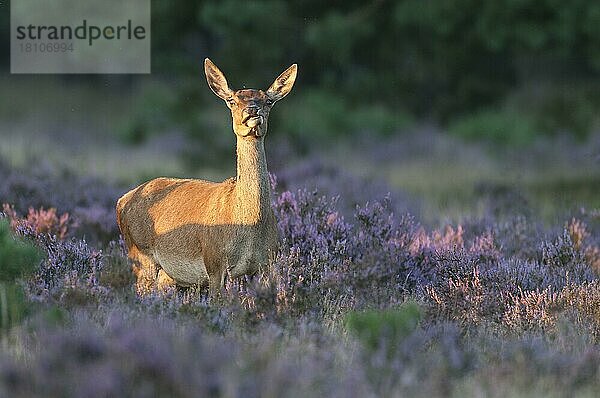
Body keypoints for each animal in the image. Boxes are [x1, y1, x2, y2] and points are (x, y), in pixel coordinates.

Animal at [116, 58, 296, 296]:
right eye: (232, 100)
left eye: (268, 101)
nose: (252, 110)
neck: (247, 222)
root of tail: (121, 201)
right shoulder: (214, 262)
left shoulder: (268, 262)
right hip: (140, 254)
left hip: (167, 274)